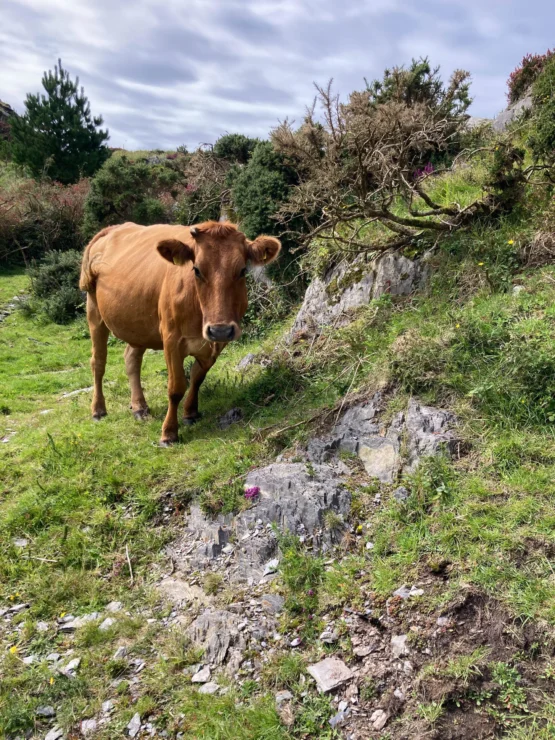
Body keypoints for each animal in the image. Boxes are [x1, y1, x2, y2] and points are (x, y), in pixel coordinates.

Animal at [80, 220, 280, 446]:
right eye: (197, 270)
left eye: (242, 270)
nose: (220, 329)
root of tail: (112, 228)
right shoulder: (171, 340)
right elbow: (176, 387)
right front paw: (169, 432)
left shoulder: (215, 342)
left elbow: (197, 377)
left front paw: (190, 413)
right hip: (94, 309)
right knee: (98, 362)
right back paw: (98, 410)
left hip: (139, 324)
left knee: (131, 359)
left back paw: (140, 407)